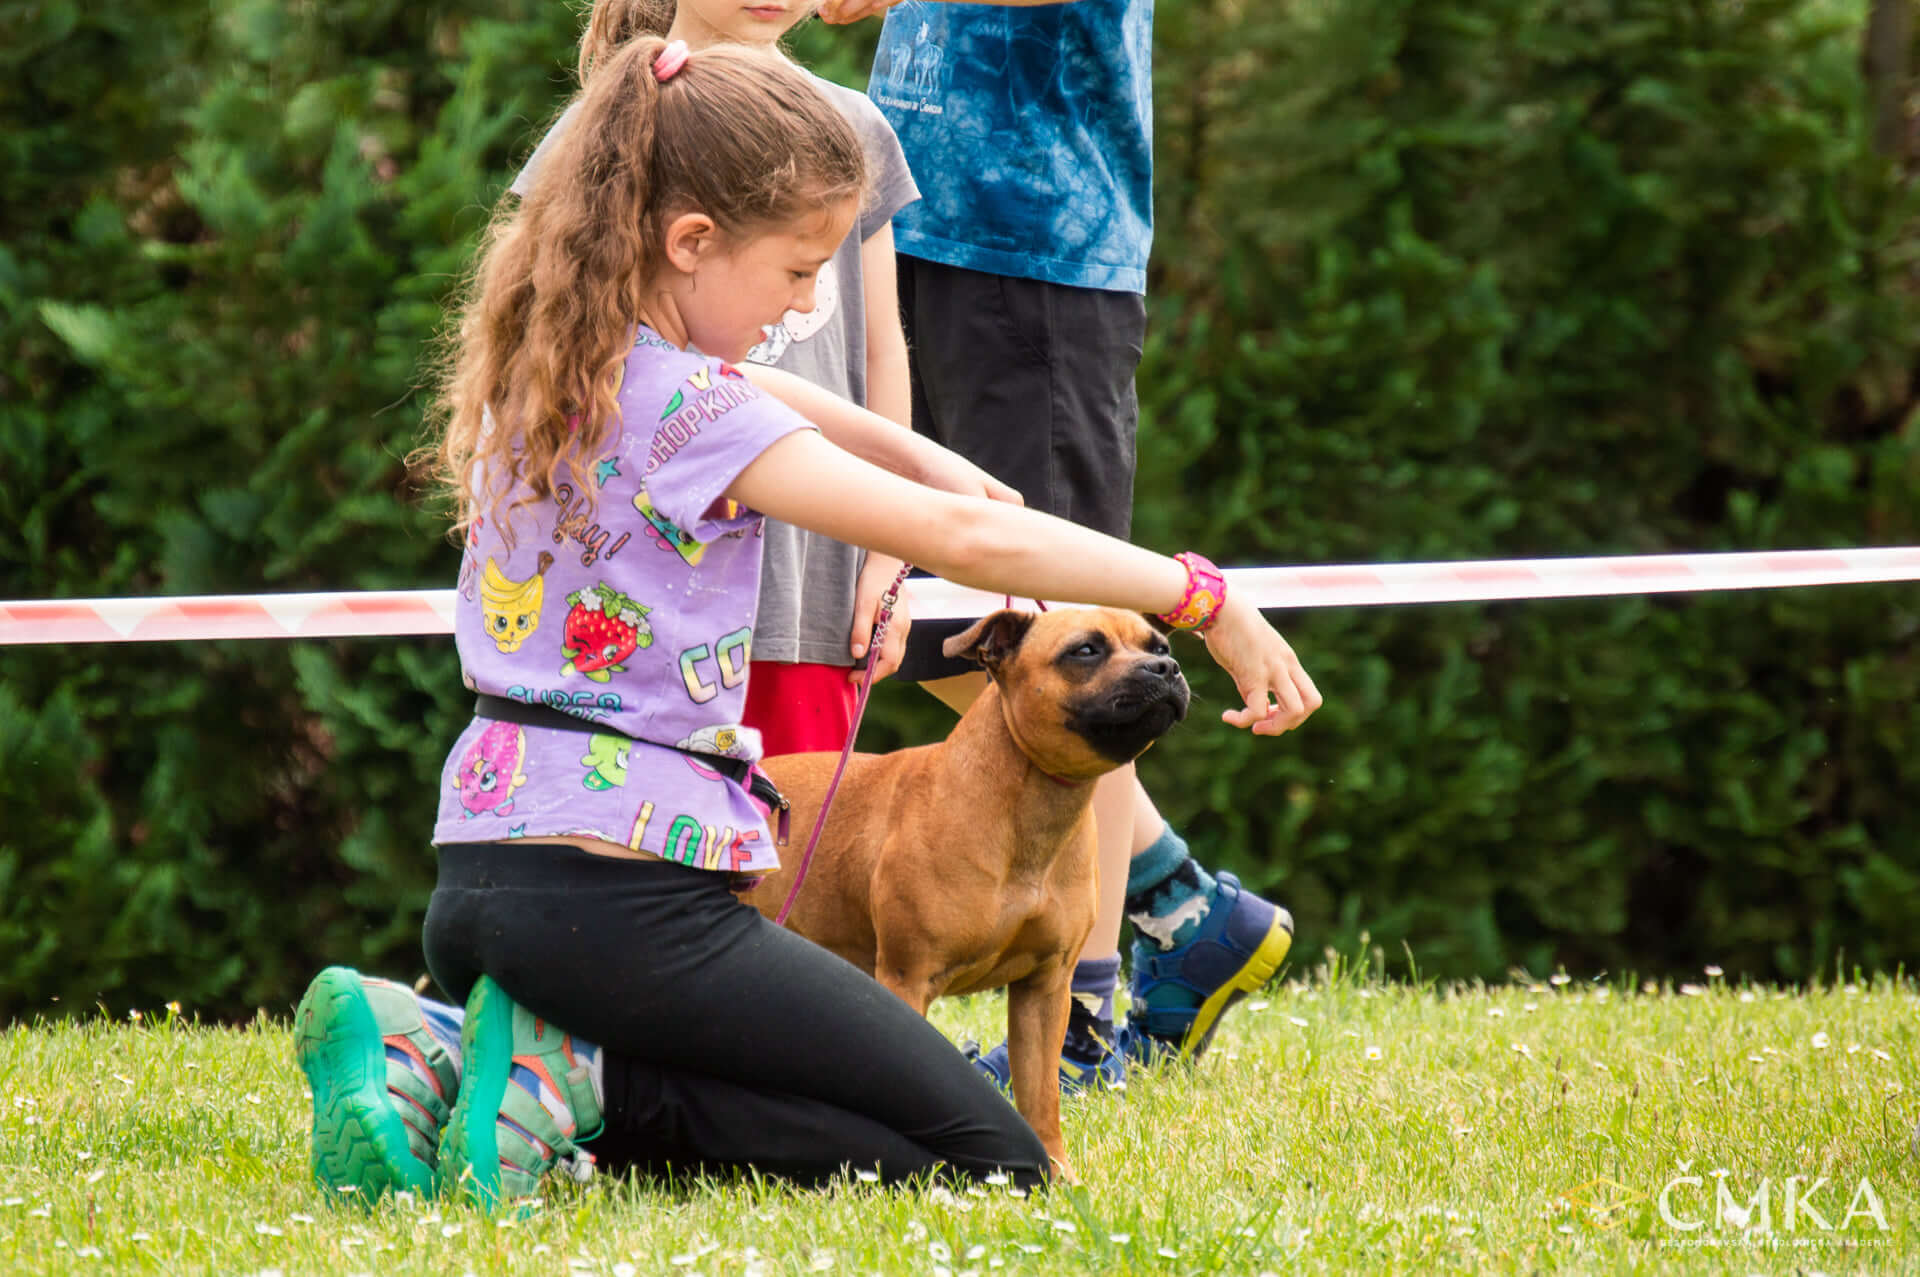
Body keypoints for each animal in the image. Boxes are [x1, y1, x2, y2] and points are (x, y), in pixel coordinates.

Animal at [748, 602, 1182, 1167]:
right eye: (1085, 650)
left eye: (1160, 647)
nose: (1167, 669)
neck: (1028, 807)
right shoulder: (908, 979)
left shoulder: (1044, 990)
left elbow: (1040, 1096)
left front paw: (1055, 1172)